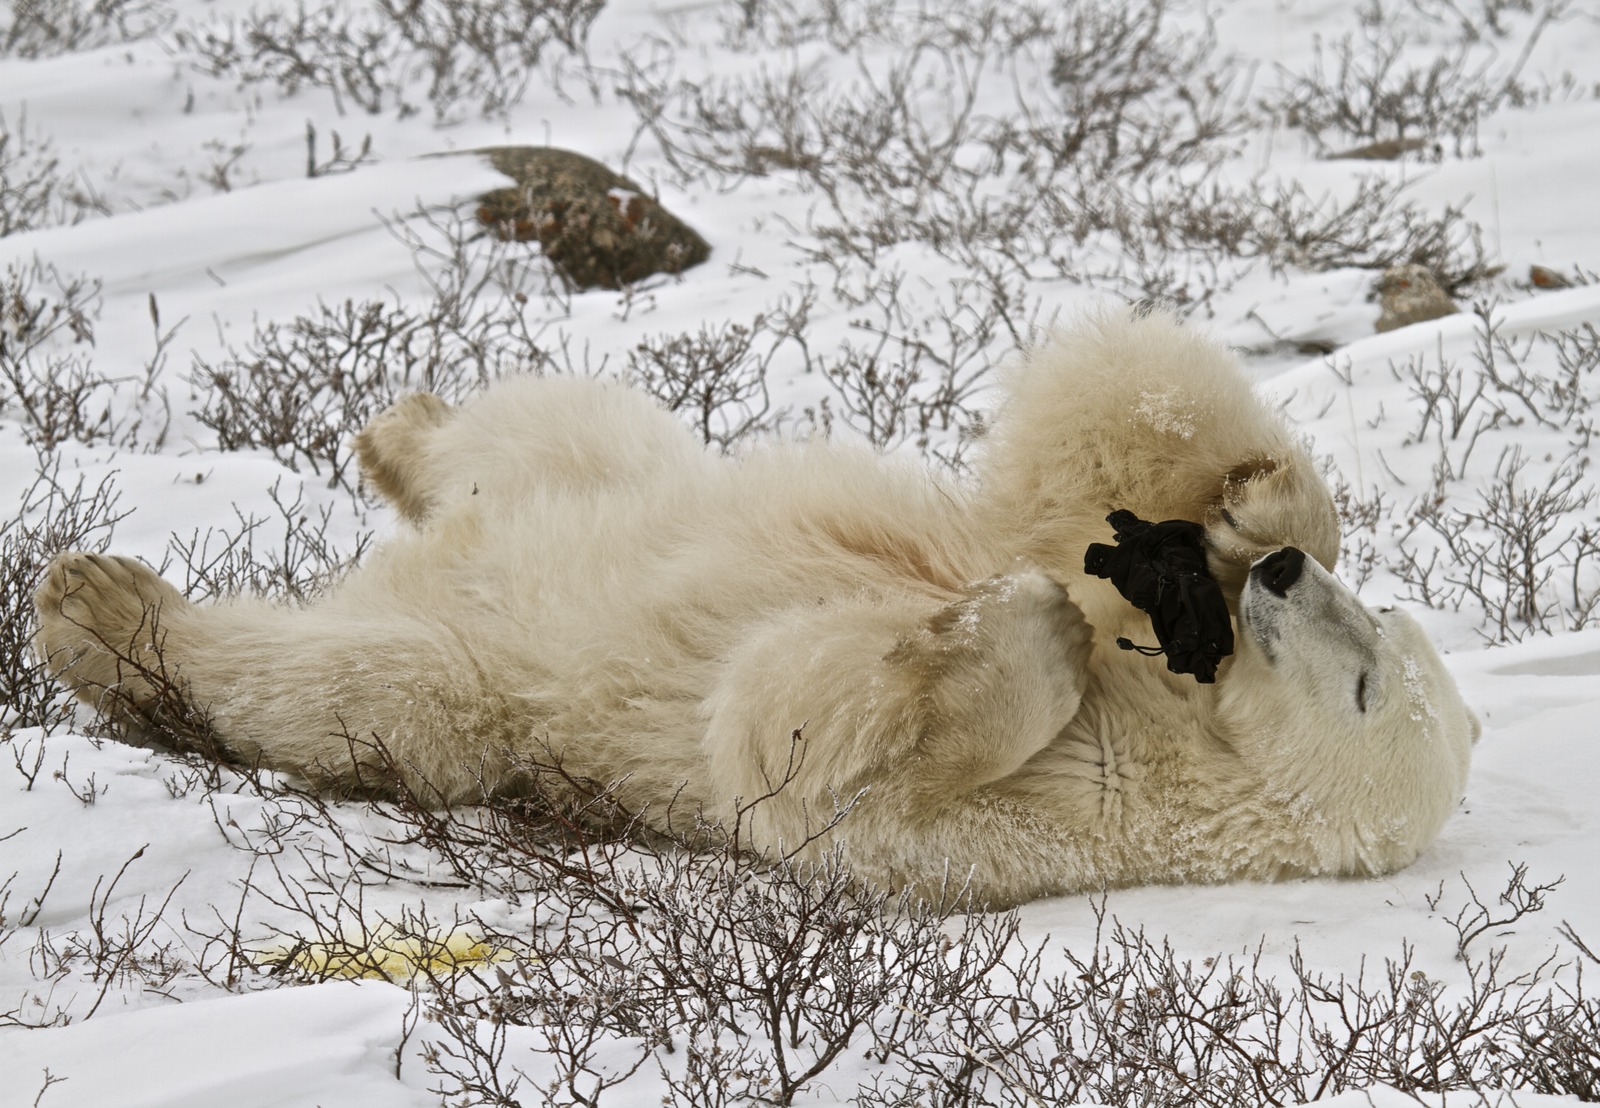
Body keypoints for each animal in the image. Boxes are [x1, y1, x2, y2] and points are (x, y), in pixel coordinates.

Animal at [34, 310, 1479, 907]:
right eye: (1380, 623)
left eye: (1362, 683)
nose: (1281, 584)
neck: (1190, 729)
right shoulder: (1053, 547)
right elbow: (1076, 454)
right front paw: (1250, 517)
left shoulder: (1068, 816)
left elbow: (798, 746)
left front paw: (1024, 630)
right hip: (618, 475)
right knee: (553, 430)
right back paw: (401, 428)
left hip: (480, 692)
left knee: (346, 686)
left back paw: (97, 609)